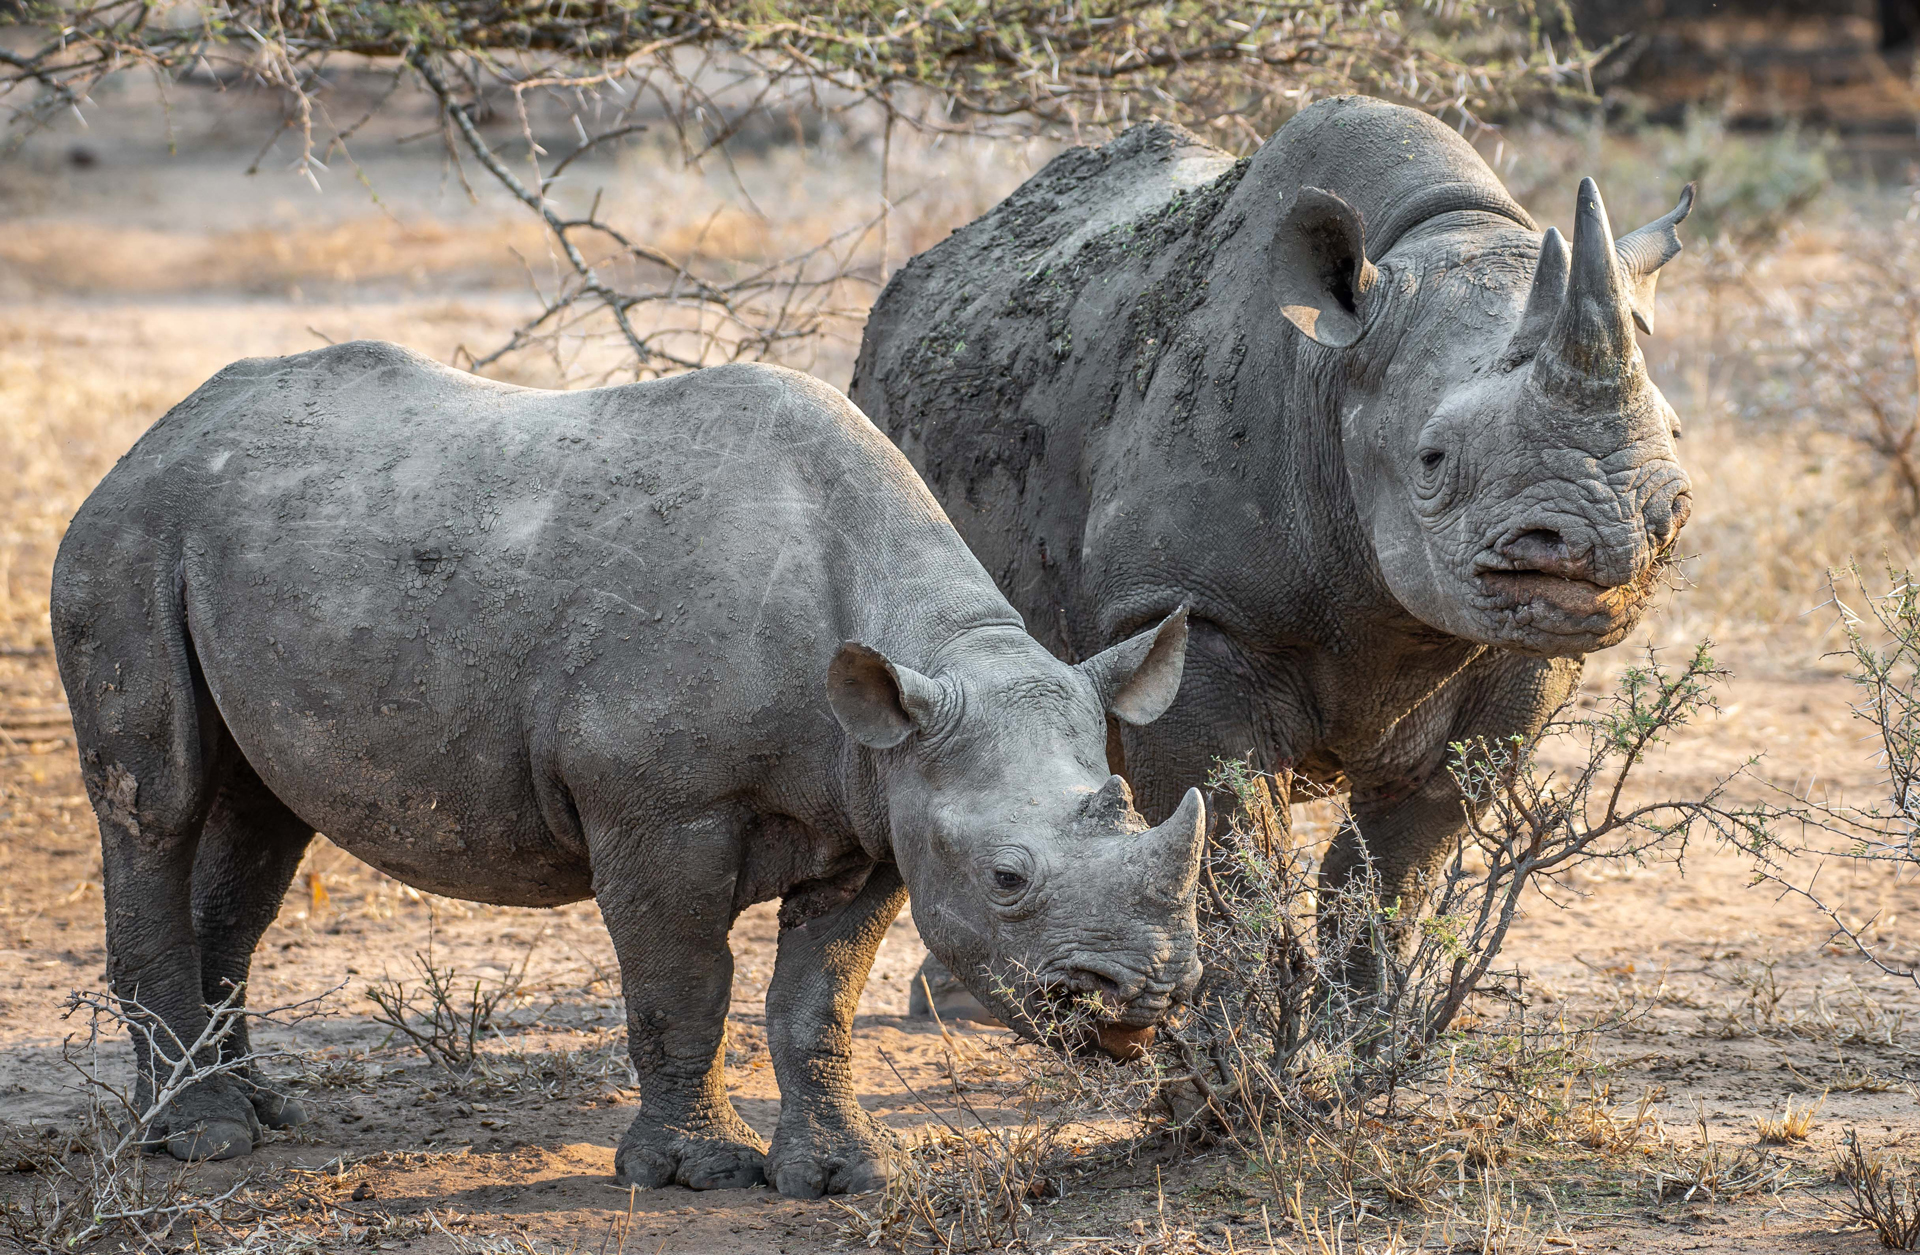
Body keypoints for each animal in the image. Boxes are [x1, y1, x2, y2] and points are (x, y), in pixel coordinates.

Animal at [52, 341, 1205, 1197]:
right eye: (1009, 878)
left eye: (1123, 810)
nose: (1146, 992)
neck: (932, 649)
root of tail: (156, 432)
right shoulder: (658, 806)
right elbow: (683, 981)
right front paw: (695, 1171)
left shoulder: (882, 806)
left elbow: (818, 997)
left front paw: (844, 1175)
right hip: (132, 536)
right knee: (157, 804)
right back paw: (199, 1139)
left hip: (260, 540)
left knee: (257, 825)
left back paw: (254, 1111)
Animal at [856, 95, 1697, 1005]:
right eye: (1433, 459)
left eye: (1676, 437)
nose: (1605, 538)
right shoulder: (1187, 608)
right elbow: (1233, 843)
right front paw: (1240, 1025)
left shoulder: (1519, 653)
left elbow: (1395, 862)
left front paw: (1361, 1023)